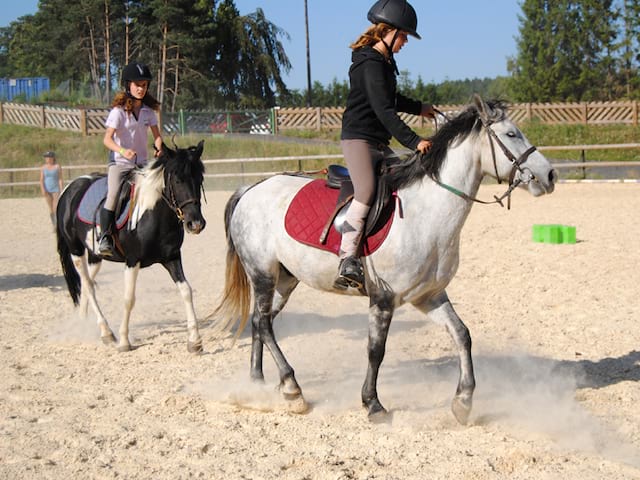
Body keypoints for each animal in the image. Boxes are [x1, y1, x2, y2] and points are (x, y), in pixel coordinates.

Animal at [57, 141, 206, 354]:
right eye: (178, 181)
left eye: (200, 178)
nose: (196, 223)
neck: (153, 215)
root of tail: (70, 188)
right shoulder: (132, 261)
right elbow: (129, 299)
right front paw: (124, 341)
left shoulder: (172, 258)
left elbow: (186, 291)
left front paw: (194, 341)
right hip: (75, 249)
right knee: (88, 286)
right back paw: (106, 332)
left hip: (95, 256)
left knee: (88, 284)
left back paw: (85, 323)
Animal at [212, 97, 556, 424]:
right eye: (511, 134)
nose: (549, 175)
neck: (426, 212)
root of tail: (251, 188)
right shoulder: (383, 298)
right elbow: (376, 350)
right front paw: (373, 404)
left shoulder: (428, 296)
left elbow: (462, 335)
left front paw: (463, 402)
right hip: (262, 274)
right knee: (264, 324)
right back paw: (292, 388)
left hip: (285, 280)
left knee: (261, 322)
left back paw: (258, 384)